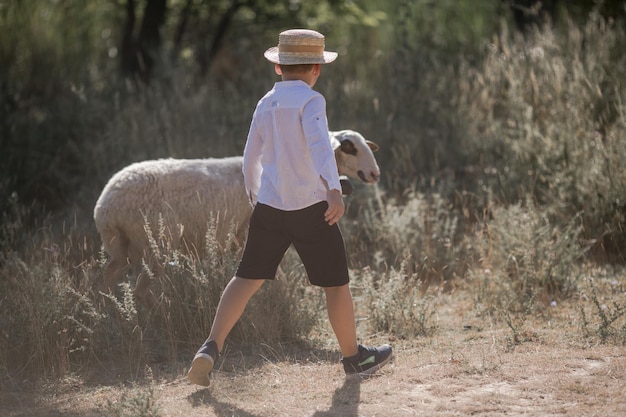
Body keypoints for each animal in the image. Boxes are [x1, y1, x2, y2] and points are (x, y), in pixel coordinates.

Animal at [92, 130, 376, 306]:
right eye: (350, 148)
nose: (375, 173)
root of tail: (106, 205)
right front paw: (281, 301)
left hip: (120, 248)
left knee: (104, 282)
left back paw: (109, 316)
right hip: (155, 245)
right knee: (140, 289)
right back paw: (158, 314)